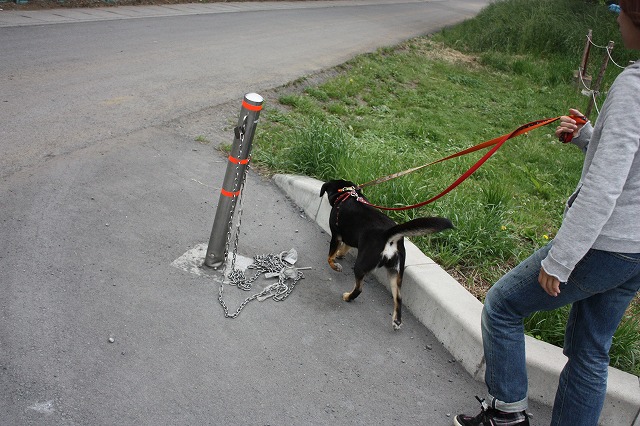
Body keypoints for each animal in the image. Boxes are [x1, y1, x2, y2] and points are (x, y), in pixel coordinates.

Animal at [318, 179, 450, 330]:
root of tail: (389, 236)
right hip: (395, 272)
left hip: (361, 265)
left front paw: (335, 265)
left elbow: (330, 257)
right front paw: (340, 254)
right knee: (398, 297)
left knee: (359, 288)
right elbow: (345, 247)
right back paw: (397, 320)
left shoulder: (336, 236)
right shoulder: (349, 237)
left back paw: (348, 297)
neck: (347, 194)